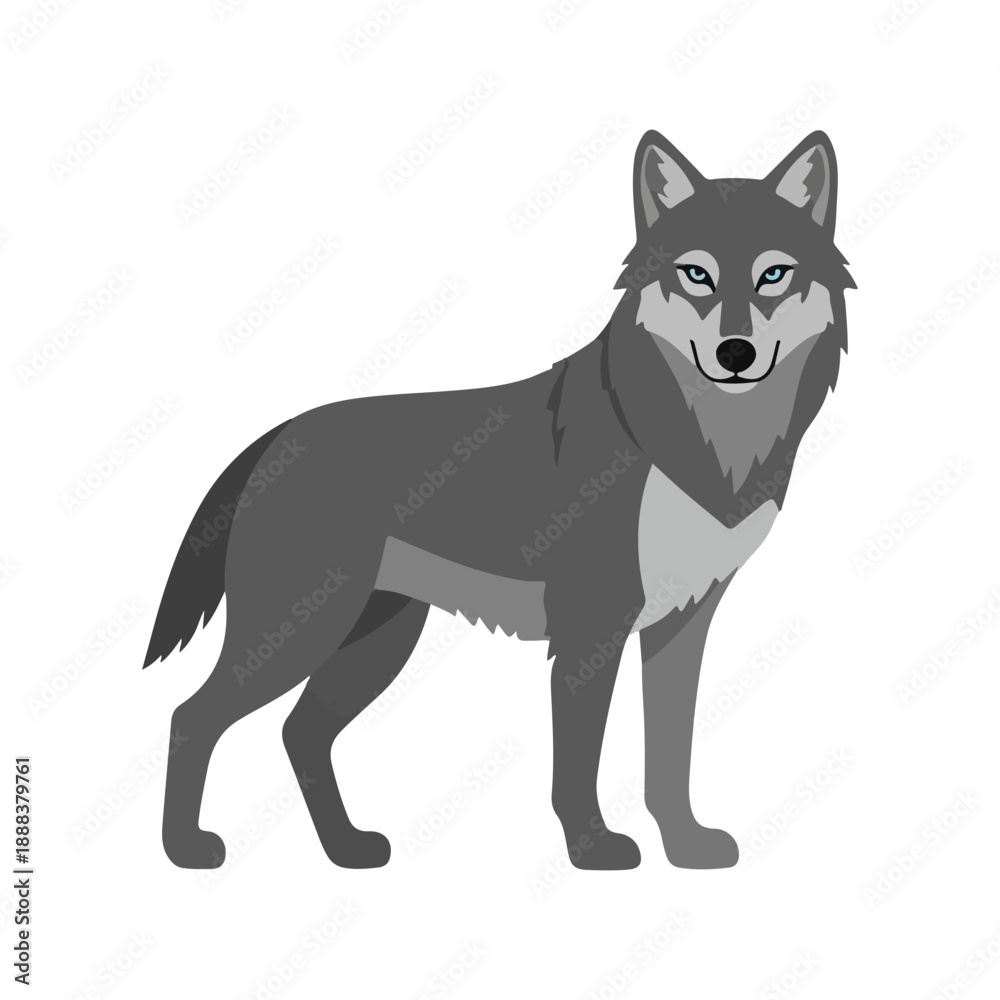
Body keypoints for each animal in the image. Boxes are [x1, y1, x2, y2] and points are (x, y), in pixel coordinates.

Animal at [145, 130, 853, 871]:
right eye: (696, 275)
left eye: (774, 275)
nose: (735, 353)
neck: (696, 441)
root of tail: (275, 437)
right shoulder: (592, 629)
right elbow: (580, 757)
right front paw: (593, 847)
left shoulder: (679, 627)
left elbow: (670, 754)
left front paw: (686, 845)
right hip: (296, 633)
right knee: (192, 717)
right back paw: (185, 849)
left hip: (376, 639)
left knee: (299, 731)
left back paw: (347, 848)